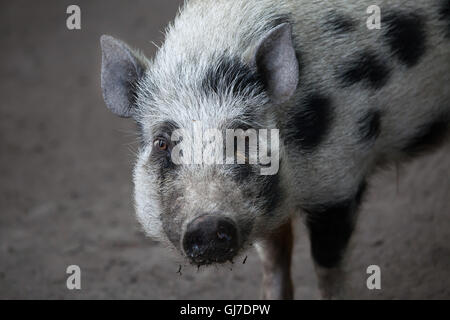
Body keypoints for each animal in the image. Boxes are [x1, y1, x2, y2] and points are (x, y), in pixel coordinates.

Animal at [100, 0, 450, 300]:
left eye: (243, 134)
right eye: (162, 143)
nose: (208, 224)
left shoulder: (341, 178)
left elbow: (327, 267)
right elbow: (275, 260)